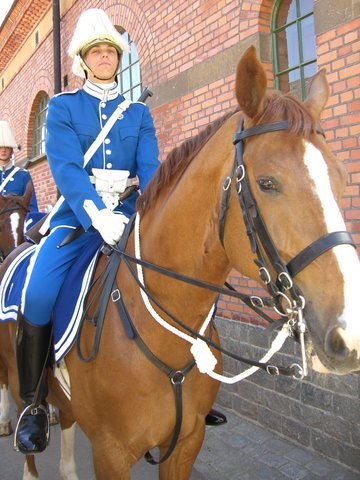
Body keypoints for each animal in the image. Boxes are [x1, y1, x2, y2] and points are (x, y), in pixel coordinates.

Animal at [0, 46, 360, 480]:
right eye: (268, 183)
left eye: (342, 178)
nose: (351, 333)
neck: (166, 333)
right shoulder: (111, 453)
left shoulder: (187, 444)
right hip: (16, 375)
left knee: (67, 418)